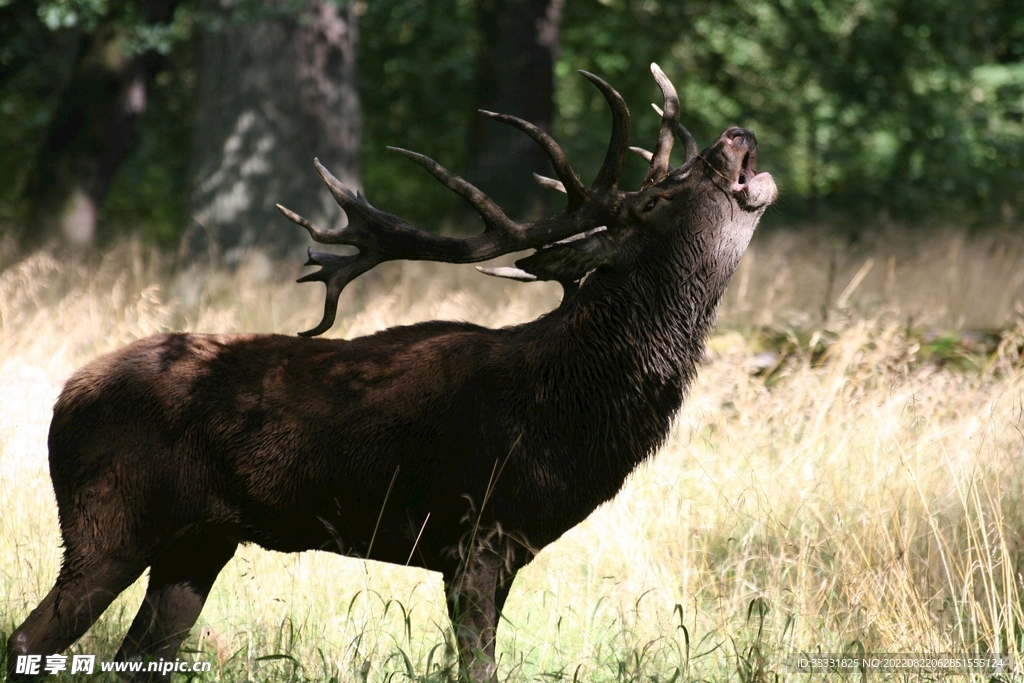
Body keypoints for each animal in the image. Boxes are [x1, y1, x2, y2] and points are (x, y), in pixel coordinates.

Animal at [6, 64, 776, 682]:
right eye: (657, 198)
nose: (736, 134)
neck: (564, 416)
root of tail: (65, 396)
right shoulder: (475, 535)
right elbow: (476, 668)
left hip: (199, 541)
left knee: (139, 653)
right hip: (107, 521)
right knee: (27, 638)